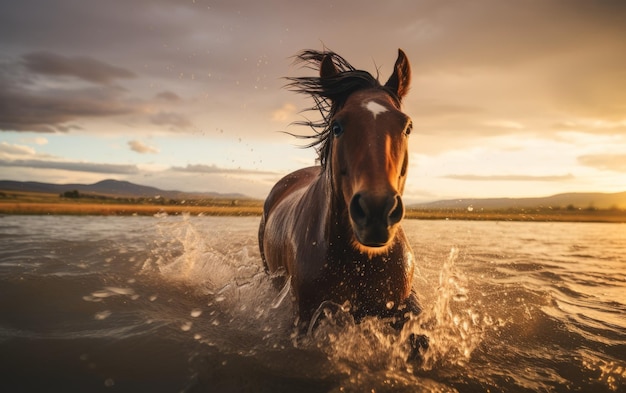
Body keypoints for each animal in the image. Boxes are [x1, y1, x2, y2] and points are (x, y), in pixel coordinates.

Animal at [258, 47, 420, 332]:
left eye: (407, 127)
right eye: (337, 126)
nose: (376, 211)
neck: (359, 262)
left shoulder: (402, 308)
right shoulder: (306, 318)